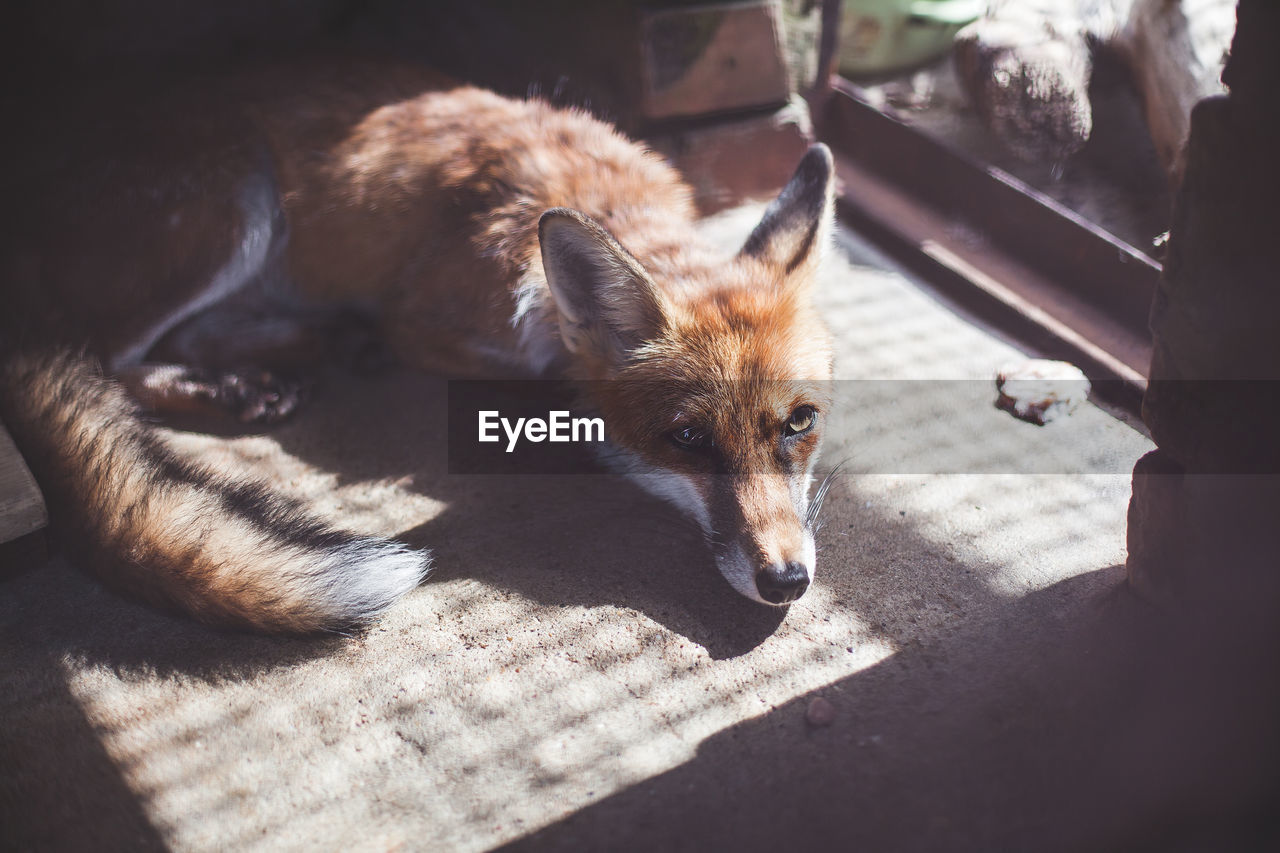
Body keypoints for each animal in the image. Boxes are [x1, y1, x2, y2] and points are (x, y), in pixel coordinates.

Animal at [0, 59, 834, 627]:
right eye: (687, 438)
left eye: (801, 422)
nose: (787, 581)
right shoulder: (425, 324)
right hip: (238, 206)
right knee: (110, 360)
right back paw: (236, 383)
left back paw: (307, 351)